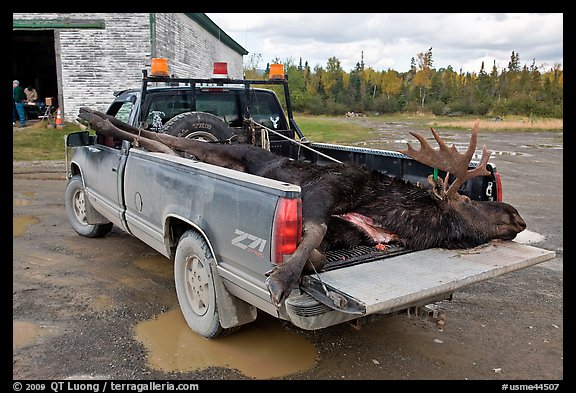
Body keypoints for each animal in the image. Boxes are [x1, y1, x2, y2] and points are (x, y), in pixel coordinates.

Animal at [79, 107, 528, 306]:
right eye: (465, 199)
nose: (517, 215)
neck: (387, 214)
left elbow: (322, 248)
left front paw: (306, 264)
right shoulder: (323, 191)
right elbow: (316, 230)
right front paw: (283, 277)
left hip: (214, 158)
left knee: (163, 145)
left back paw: (98, 119)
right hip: (218, 151)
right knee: (164, 138)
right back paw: (94, 117)